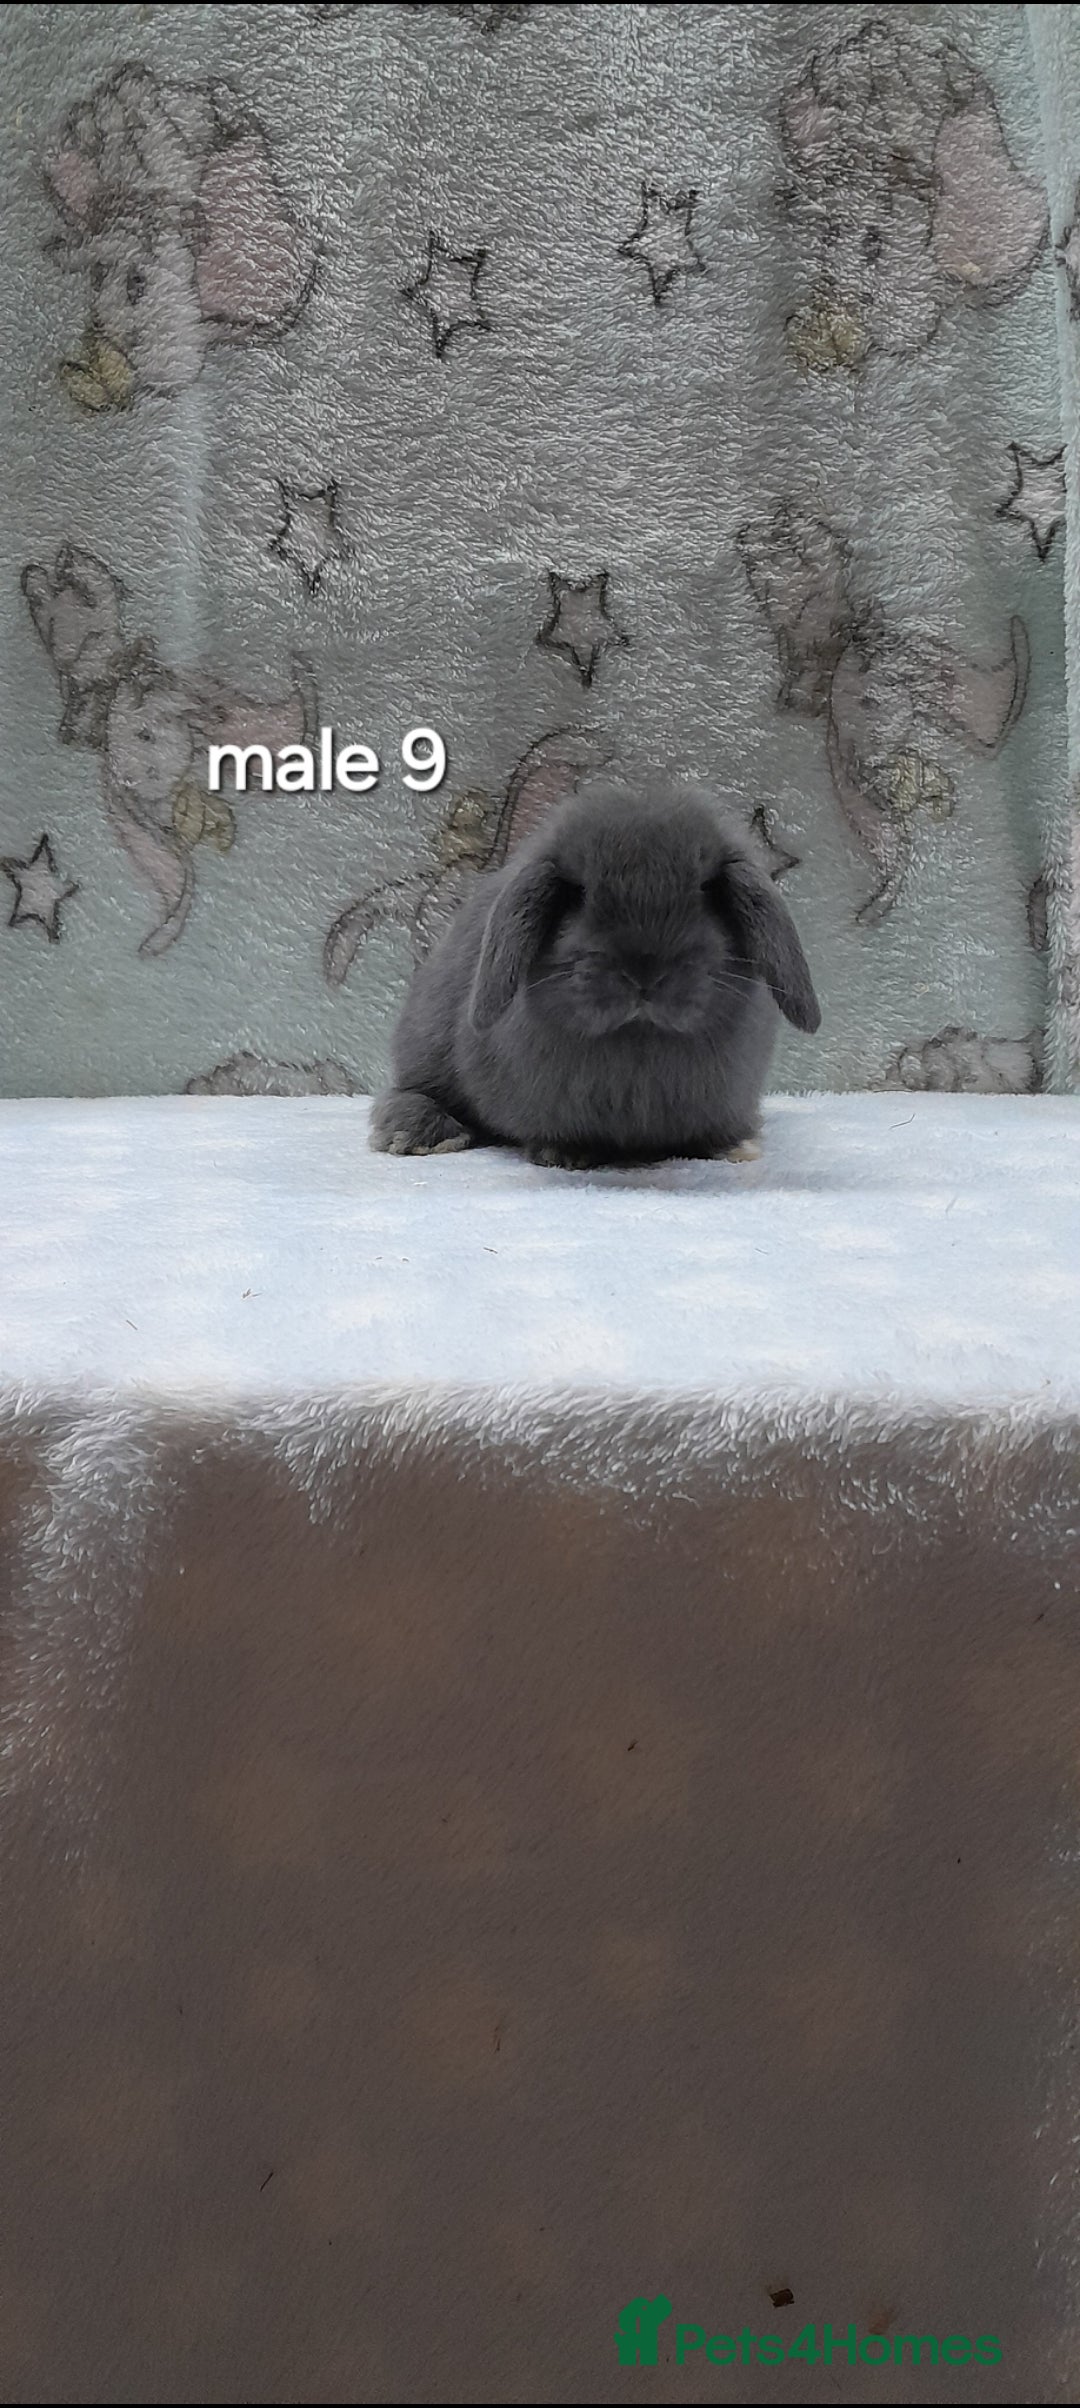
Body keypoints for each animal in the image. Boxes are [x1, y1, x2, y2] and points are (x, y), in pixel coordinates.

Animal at [370, 771, 821, 1168]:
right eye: (579, 892)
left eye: (707, 888)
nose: (644, 973)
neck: (639, 1041)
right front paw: (566, 1154)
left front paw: (735, 1148)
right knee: (410, 1092)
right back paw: (420, 1135)